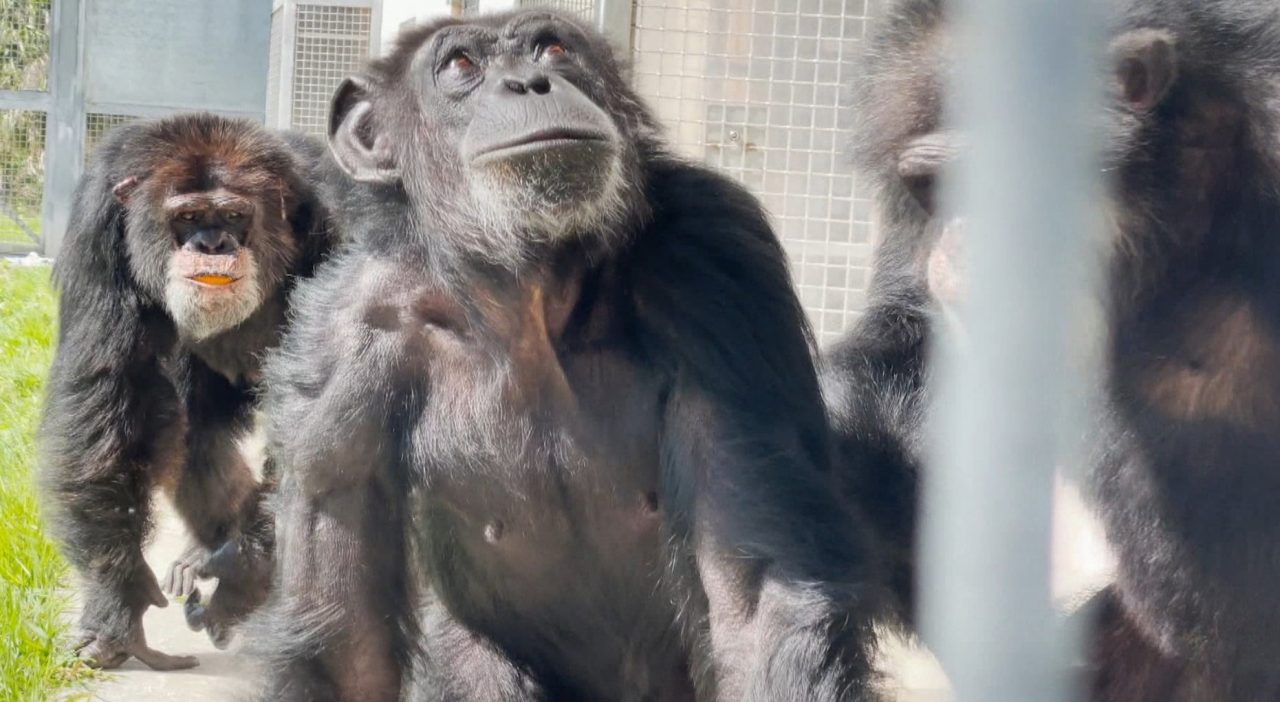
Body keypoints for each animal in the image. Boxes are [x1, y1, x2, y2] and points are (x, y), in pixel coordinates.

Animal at [40, 114, 340, 671]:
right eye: (190, 215)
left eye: (234, 215)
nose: (212, 243)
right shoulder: (97, 225)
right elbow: (112, 387)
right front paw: (118, 601)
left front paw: (243, 576)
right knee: (192, 433)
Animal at [249, 9, 890, 702]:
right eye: (460, 66)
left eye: (552, 48)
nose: (529, 82)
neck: (527, 290)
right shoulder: (338, 340)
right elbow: (345, 639)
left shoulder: (716, 260)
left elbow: (752, 601)